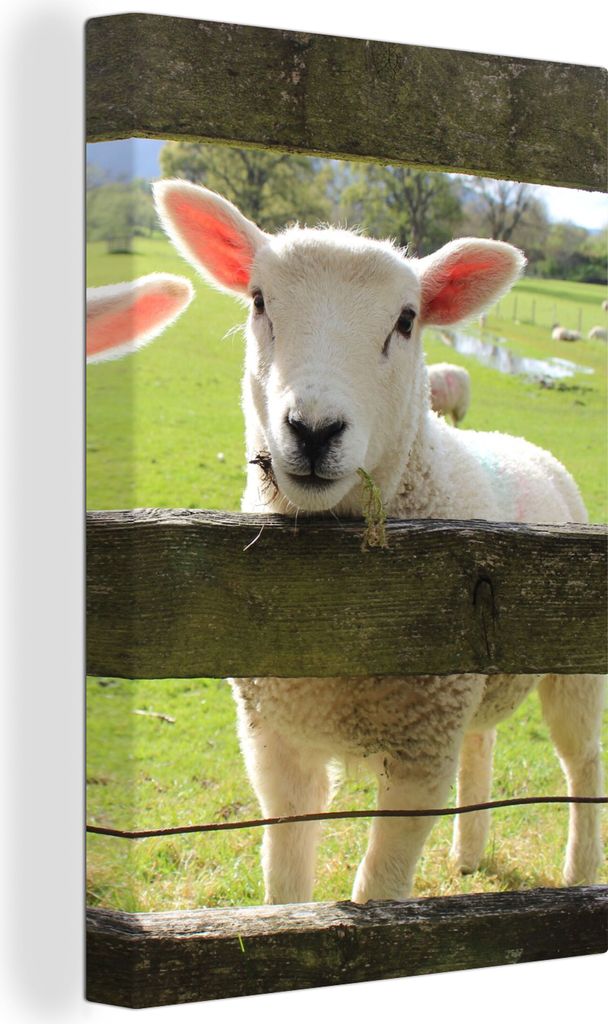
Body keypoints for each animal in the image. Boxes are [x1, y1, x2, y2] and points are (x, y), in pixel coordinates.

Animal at [154, 180, 605, 905]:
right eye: (259, 301)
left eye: (406, 319)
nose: (312, 430)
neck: (352, 602)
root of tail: (523, 445)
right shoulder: (274, 742)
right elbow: (285, 882)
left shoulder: (421, 754)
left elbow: (379, 891)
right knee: (482, 744)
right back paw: (469, 855)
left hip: (575, 662)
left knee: (582, 762)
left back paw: (581, 873)